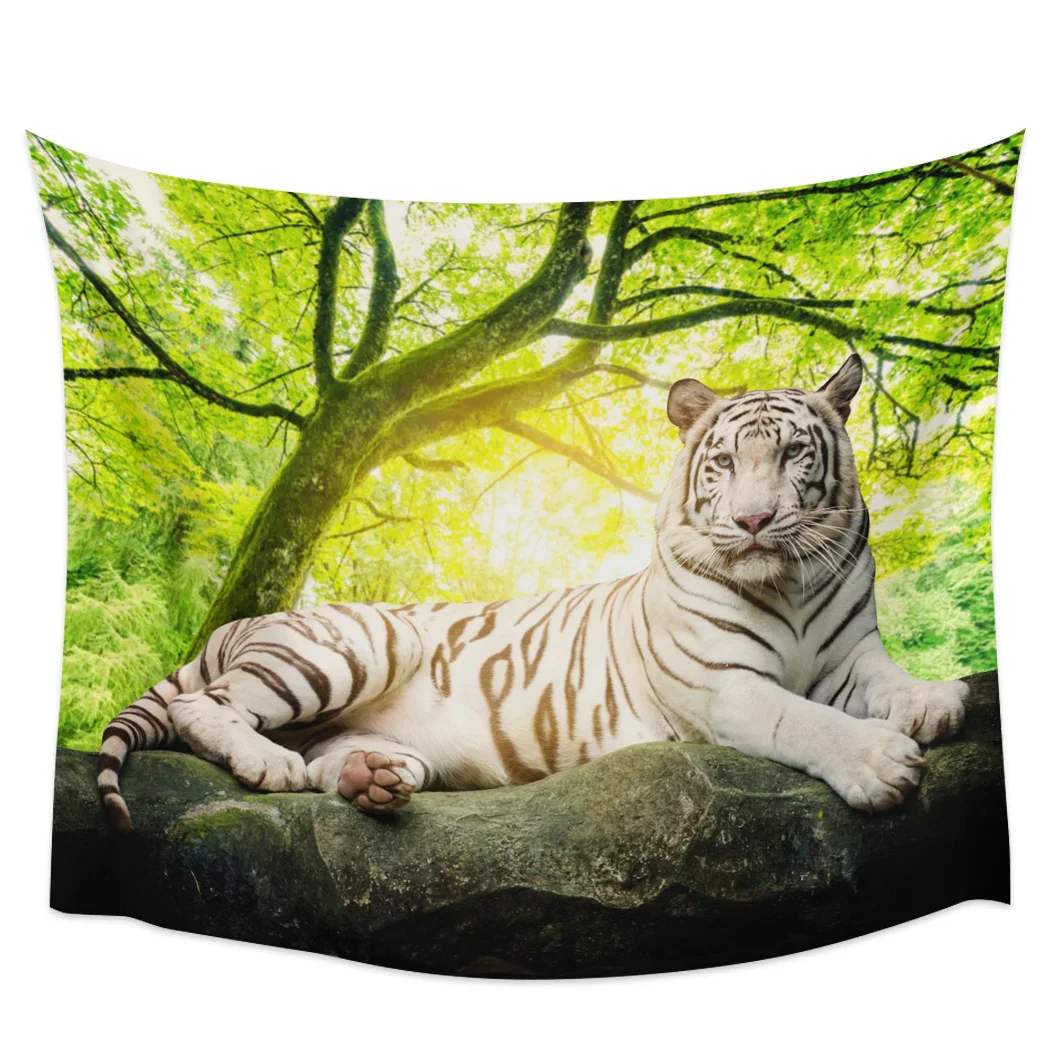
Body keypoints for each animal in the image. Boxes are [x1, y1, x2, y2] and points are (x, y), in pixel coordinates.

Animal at [96, 354, 969, 830]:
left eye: (793, 454)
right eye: (723, 462)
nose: (754, 521)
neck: (785, 583)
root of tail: (237, 624)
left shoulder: (850, 653)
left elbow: (886, 680)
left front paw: (934, 702)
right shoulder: (722, 687)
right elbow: (802, 720)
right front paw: (881, 763)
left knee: (330, 760)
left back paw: (368, 777)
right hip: (356, 647)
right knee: (201, 708)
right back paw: (266, 764)